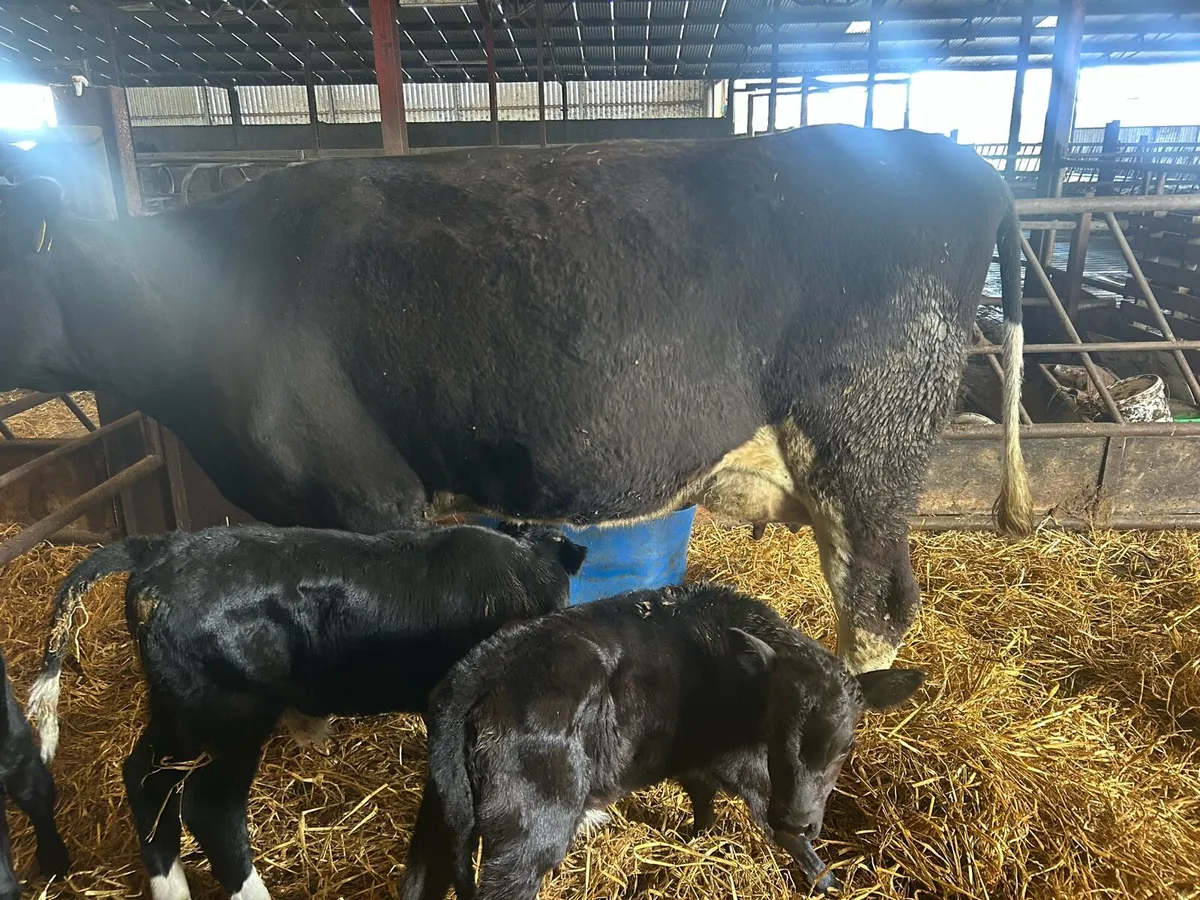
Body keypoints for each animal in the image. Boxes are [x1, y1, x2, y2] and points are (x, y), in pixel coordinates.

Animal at [28, 521, 586, 900]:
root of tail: (159, 550)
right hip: (234, 712)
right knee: (209, 806)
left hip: (177, 707)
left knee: (145, 776)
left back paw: (173, 888)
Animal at [400, 582, 926, 900]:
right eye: (776, 730)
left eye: (846, 747)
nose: (800, 819)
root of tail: (477, 669)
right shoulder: (747, 767)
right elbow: (775, 823)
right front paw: (827, 880)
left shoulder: (697, 756)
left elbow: (702, 797)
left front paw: (698, 837)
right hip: (529, 831)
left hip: (443, 813)